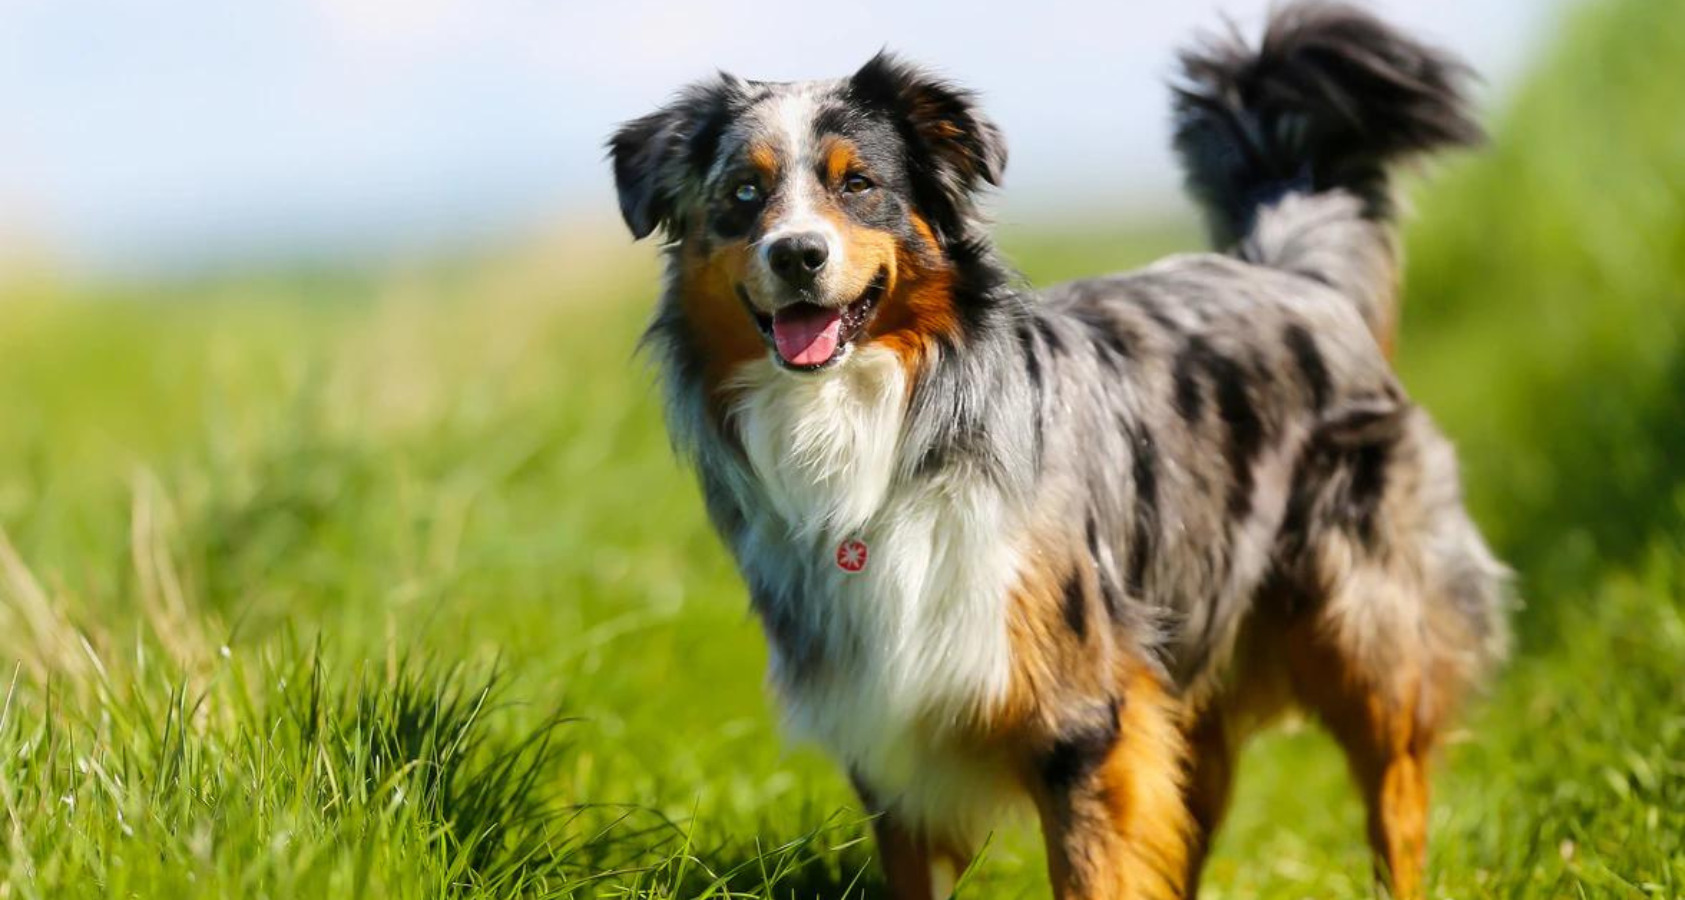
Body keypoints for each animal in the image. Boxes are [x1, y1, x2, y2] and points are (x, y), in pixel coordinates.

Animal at [613, 3, 1509, 896]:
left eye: (857, 184)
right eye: (744, 192)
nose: (797, 253)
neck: (874, 427)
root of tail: (1296, 276)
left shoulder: (1081, 720)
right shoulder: (889, 737)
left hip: (1366, 640)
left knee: (1393, 800)